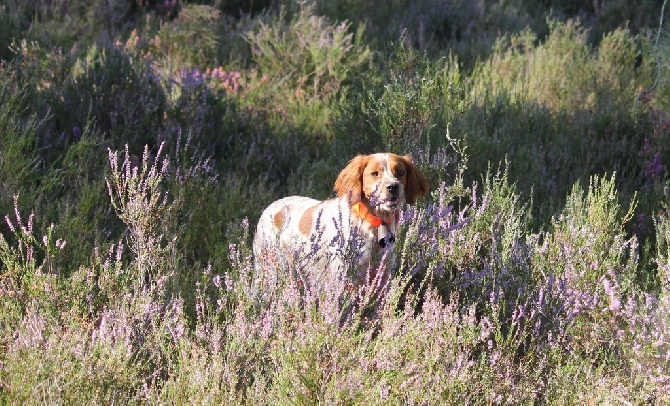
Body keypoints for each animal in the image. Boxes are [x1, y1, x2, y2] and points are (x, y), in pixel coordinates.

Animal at [252, 154, 430, 302]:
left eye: (400, 172)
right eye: (375, 173)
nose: (393, 187)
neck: (373, 224)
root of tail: (270, 208)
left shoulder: (382, 276)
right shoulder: (341, 277)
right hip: (272, 267)